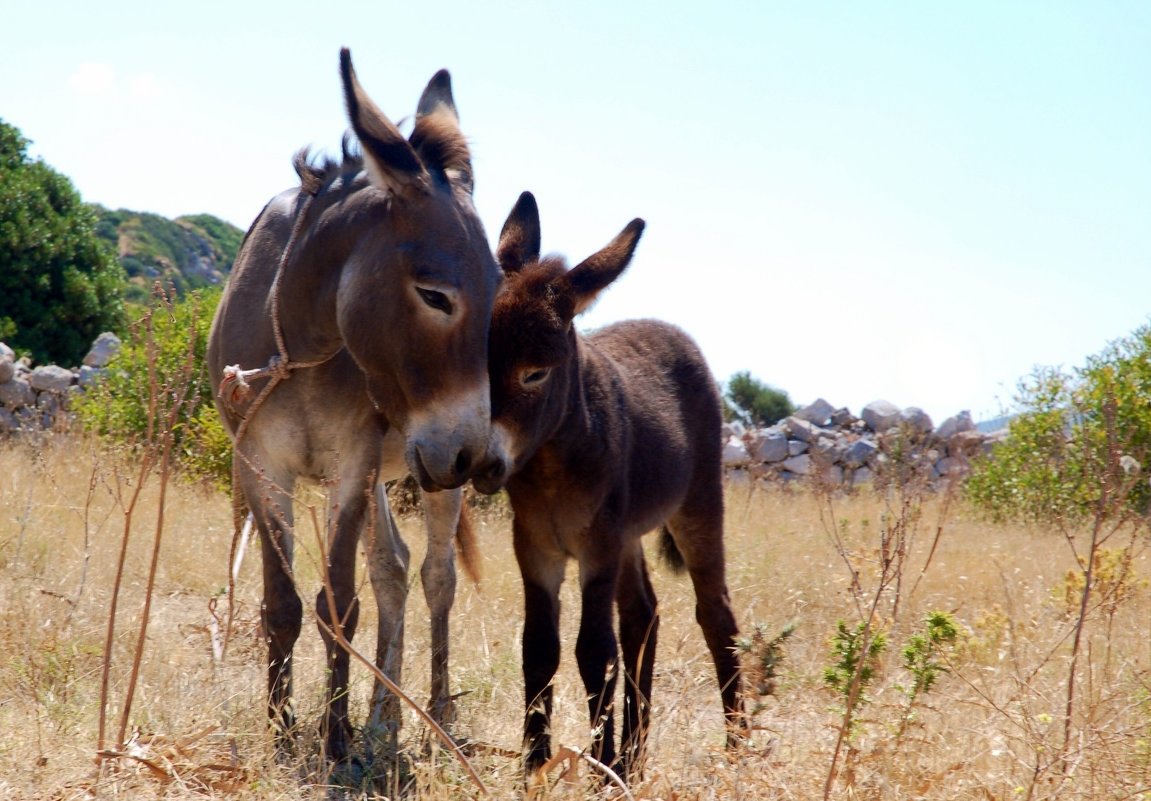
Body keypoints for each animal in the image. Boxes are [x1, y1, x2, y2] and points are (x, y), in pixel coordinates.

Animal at [471, 191, 741, 777]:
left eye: (535, 372)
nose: (477, 462)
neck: (552, 462)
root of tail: (665, 326)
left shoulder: (597, 549)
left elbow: (594, 650)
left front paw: (597, 762)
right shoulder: (536, 549)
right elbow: (539, 649)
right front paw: (537, 763)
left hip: (695, 507)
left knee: (716, 616)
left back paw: (738, 747)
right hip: (629, 535)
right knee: (644, 615)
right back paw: (634, 753)